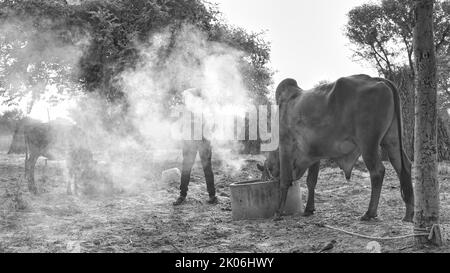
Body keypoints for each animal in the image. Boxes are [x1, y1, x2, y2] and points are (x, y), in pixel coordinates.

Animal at [256, 74, 414, 221]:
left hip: (368, 144)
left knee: (377, 172)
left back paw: (370, 213)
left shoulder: (285, 146)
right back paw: (409, 213)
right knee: (403, 166)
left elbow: (285, 180)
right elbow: (311, 181)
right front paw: (309, 209)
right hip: (392, 140)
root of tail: (377, 79)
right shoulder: (314, 154)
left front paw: (278, 212)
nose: (264, 180)